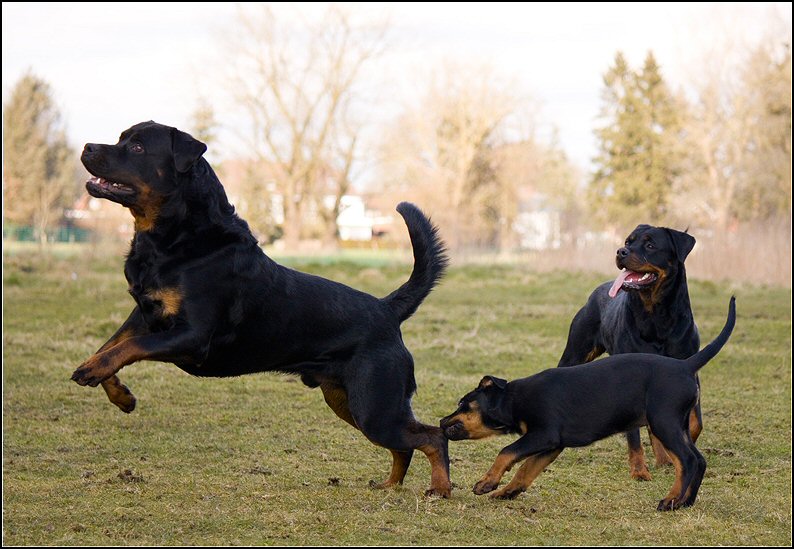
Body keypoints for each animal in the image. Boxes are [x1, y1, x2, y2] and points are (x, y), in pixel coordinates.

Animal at [72, 121, 452, 497]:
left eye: (137, 147)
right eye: (120, 138)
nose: (87, 146)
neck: (174, 240)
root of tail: (387, 309)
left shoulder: (192, 336)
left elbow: (131, 347)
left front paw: (95, 371)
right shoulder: (145, 313)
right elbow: (112, 345)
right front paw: (118, 392)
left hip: (375, 407)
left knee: (433, 436)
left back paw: (440, 489)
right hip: (348, 400)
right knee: (406, 445)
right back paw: (390, 485)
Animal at [440, 297, 735, 510]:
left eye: (463, 403)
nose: (442, 421)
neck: (514, 398)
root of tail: (686, 365)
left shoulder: (544, 435)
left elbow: (507, 451)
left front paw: (486, 483)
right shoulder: (552, 445)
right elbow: (526, 470)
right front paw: (507, 492)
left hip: (664, 422)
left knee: (688, 460)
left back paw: (671, 500)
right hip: (677, 425)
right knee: (698, 460)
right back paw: (685, 502)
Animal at [557, 225, 699, 480]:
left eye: (650, 245)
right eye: (628, 242)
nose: (621, 251)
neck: (657, 316)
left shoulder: (688, 368)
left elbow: (695, 422)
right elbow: (633, 435)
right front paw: (639, 470)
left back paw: (664, 458)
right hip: (575, 352)